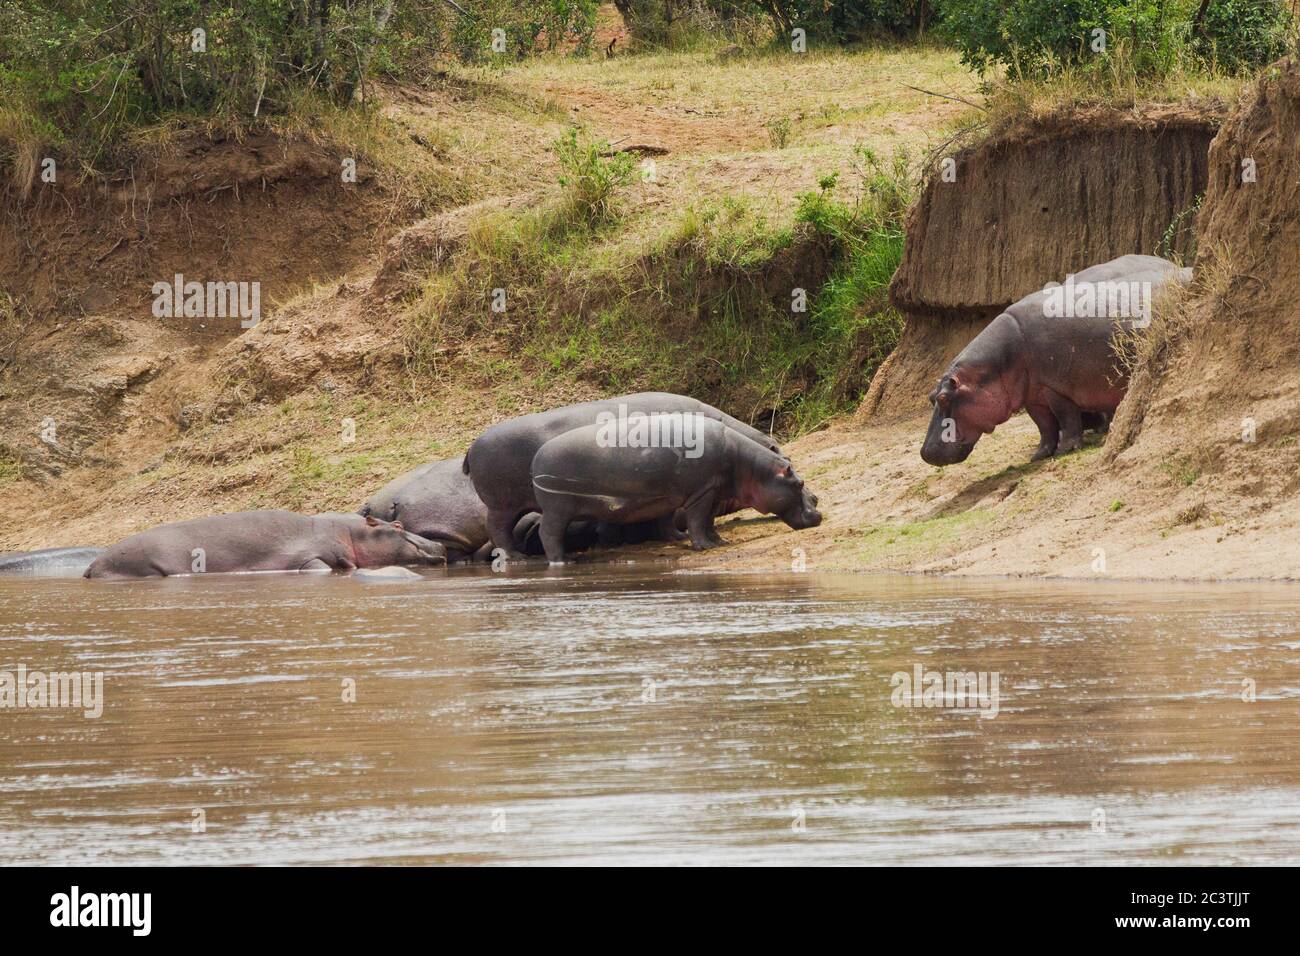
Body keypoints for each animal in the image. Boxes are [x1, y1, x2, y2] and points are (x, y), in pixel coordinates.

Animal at [530, 416, 816, 564]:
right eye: (799, 483)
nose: (818, 510)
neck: (751, 467)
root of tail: (536, 460)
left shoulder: (713, 492)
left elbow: (708, 522)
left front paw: (720, 542)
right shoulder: (701, 493)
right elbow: (697, 522)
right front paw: (705, 547)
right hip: (557, 508)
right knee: (549, 533)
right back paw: (562, 561)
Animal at [915, 252, 1190, 465]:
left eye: (943, 397)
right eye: (930, 396)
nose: (925, 453)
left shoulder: (1055, 388)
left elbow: (1065, 418)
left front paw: (1066, 450)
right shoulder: (1033, 395)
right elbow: (1044, 426)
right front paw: (1039, 455)